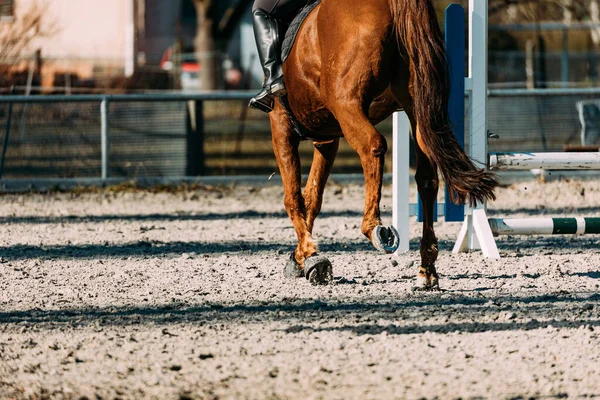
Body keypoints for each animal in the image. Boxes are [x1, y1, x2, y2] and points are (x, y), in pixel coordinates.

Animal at [272, 0, 496, 288]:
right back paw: (426, 269)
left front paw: (311, 256)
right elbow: (313, 197)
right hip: (415, 107)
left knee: (373, 145)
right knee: (427, 178)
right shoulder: (327, 137)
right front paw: (300, 256)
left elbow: (293, 197)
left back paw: (375, 229)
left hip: (347, 102)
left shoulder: (280, 124)